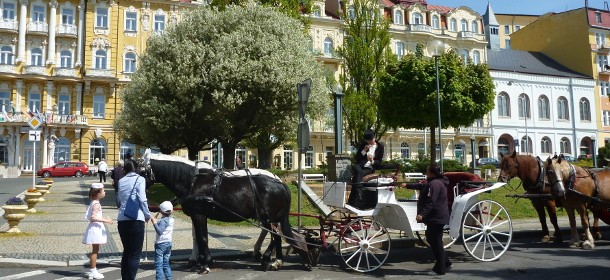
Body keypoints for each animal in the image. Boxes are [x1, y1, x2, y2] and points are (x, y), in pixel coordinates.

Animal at [140, 150, 296, 272]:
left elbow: (202, 238)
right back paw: (270, 258)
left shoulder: (199, 215)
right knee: (274, 235)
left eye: (141, 170)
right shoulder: (196, 215)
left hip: (268, 217)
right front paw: (199, 260)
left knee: (276, 236)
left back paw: (272, 260)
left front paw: (205, 263)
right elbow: (198, 237)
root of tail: (279, 182)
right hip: (269, 218)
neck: (192, 181)